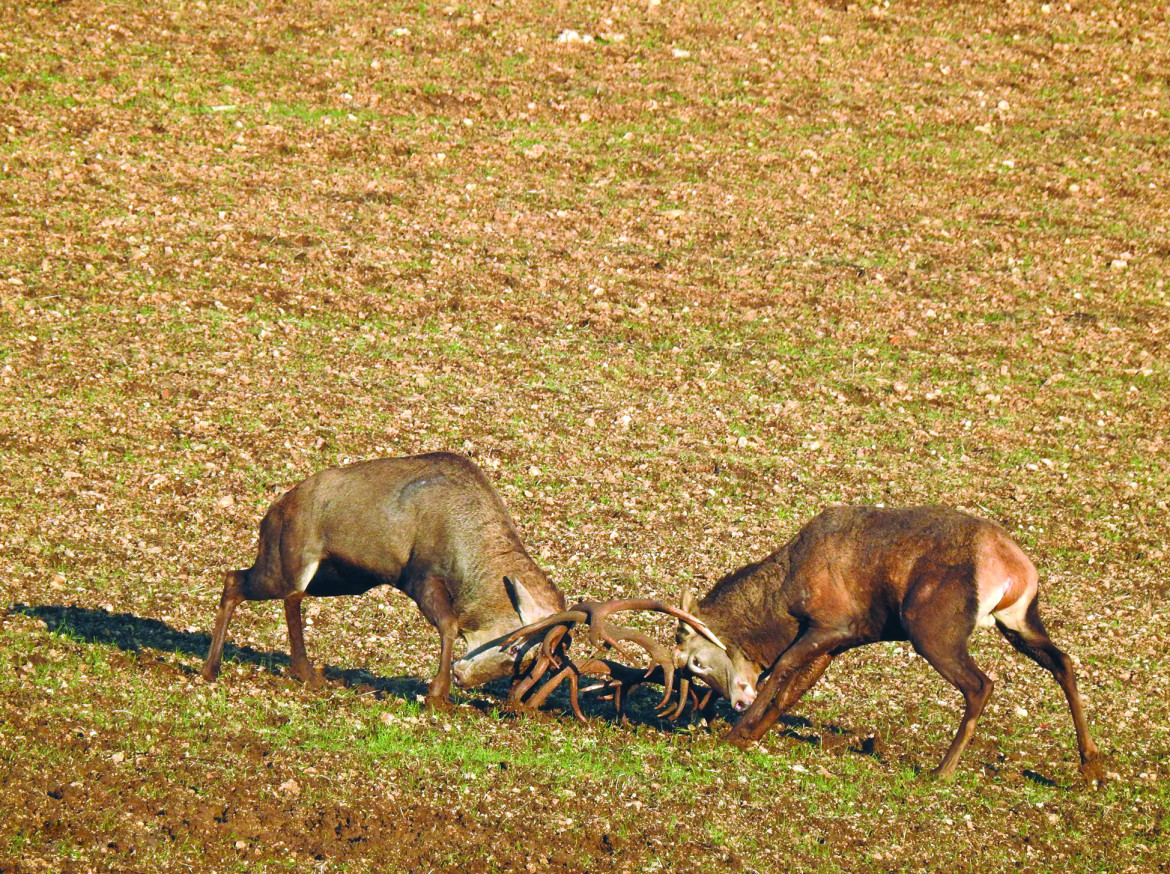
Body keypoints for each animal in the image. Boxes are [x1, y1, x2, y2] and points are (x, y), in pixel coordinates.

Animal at [201, 451, 566, 711]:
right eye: (516, 644)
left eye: (526, 663)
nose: (463, 677)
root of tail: (273, 511)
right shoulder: (419, 577)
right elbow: (449, 625)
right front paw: (437, 694)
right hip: (286, 565)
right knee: (237, 580)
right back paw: (214, 669)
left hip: (331, 578)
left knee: (282, 594)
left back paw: (303, 673)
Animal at [673, 505, 1099, 781]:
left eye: (695, 661)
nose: (731, 703)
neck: (782, 600)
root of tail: (1016, 569)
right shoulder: (840, 642)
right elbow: (791, 692)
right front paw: (752, 734)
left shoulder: (832, 624)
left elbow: (781, 669)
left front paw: (738, 732)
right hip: (1018, 620)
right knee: (1063, 662)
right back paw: (1090, 760)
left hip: (932, 629)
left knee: (981, 684)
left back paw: (941, 770)